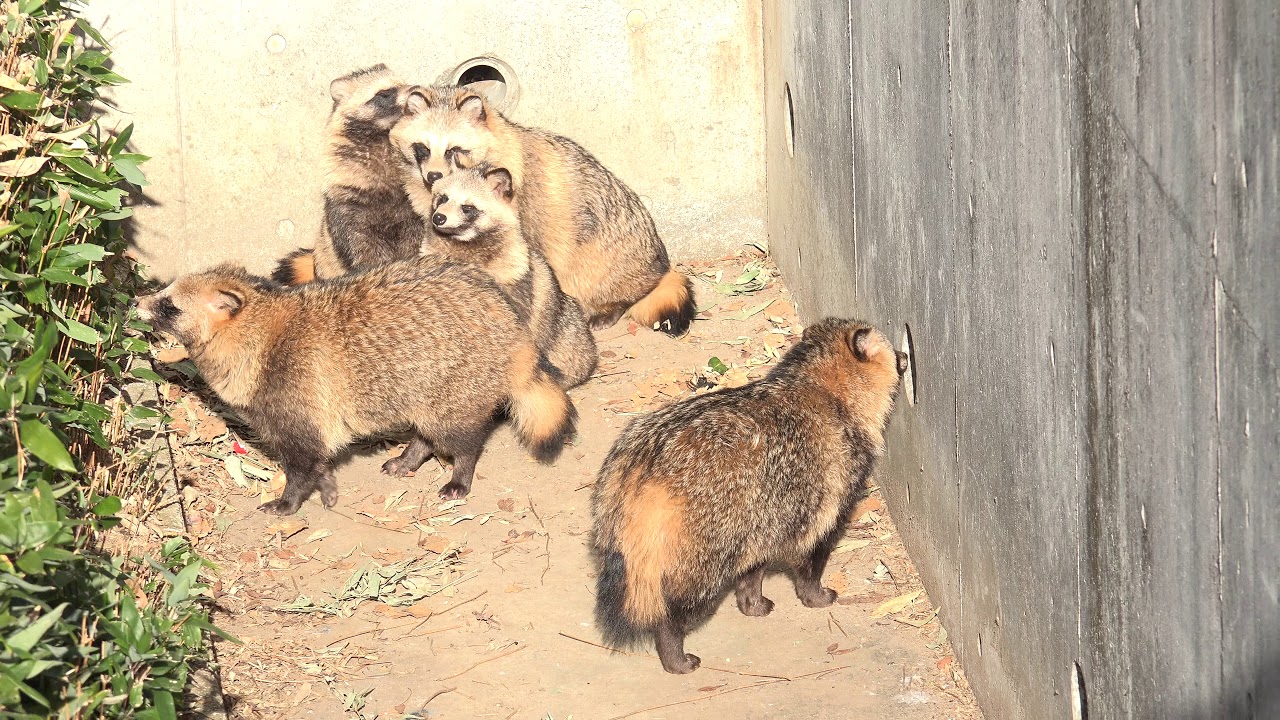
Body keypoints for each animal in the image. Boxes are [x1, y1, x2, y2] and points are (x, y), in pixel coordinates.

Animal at [137, 258, 576, 514]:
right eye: (165, 292)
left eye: (170, 305)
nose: (137, 301)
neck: (257, 329)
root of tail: (516, 329)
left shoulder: (294, 393)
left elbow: (304, 461)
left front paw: (290, 500)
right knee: (427, 431)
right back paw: (411, 455)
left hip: (458, 381)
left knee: (458, 436)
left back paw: (459, 473)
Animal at [271, 65, 425, 285]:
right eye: (385, 94)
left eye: (404, 83)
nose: (417, 89)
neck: (383, 140)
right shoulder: (348, 208)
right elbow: (361, 252)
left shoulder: (411, 208)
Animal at [389, 86, 696, 335]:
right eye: (422, 148)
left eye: (453, 149)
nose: (433, 177)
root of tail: (659, 266)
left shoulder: (522, 201)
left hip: (610, 257)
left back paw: (613, 305)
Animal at [415, 162, 598, 388]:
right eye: (442, 198)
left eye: (467, 208)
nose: (438, 218)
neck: (463, 243)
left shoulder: (515, 280)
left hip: (569, 336)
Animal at [590, 319, 908, 673]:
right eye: (890, 347)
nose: (906, 355)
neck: (821, 387)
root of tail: (640, 467)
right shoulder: (824, 500)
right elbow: (810, 558)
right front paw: (817, 595)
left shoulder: (764, 518)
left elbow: (753, 570)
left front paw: (752, 602)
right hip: (702, 551)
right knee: (673, 606)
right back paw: (675, 655)